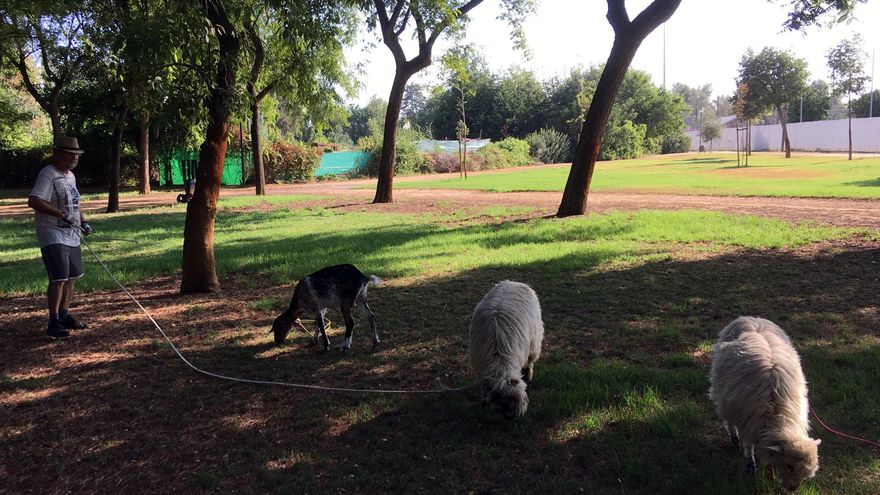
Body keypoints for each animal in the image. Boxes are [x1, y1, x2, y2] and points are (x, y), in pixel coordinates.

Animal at [469, 280, 544, 419]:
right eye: (501, 402)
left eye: (513, 401)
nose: (510, 416)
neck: (499, 361)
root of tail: (513, 282)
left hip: (534, 344)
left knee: (529, 365)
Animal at [709, 316, 821, 491]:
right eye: (789, 465)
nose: (793, 489)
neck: (777, 414)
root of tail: (749, 318)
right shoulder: (748, 422)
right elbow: (748, 446)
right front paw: (750, 466)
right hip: (725, 397)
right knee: (729, 420)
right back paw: (734, 439)